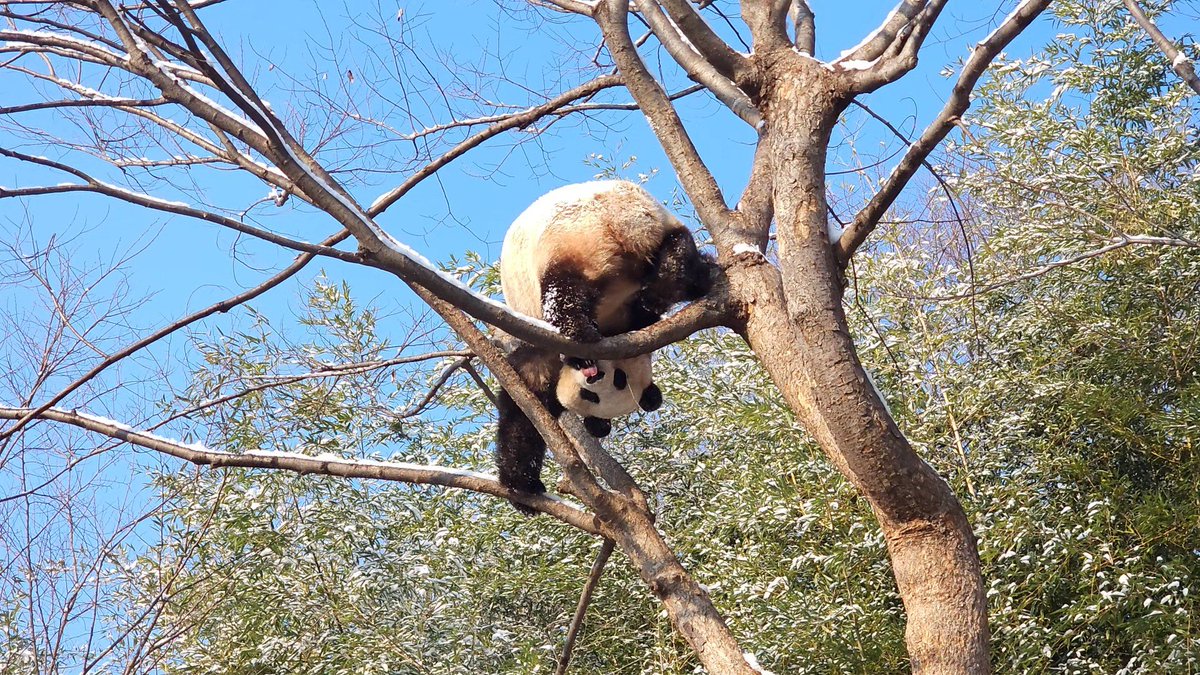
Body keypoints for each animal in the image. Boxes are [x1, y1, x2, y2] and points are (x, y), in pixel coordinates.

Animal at [495, 180, 713, 512]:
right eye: (592, 395)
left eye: (618, 381)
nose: (593, 375)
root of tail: (623, 219)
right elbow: (524, 402)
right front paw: (522, 486)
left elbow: (525, 408)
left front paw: (522, 484)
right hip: (579, 237)